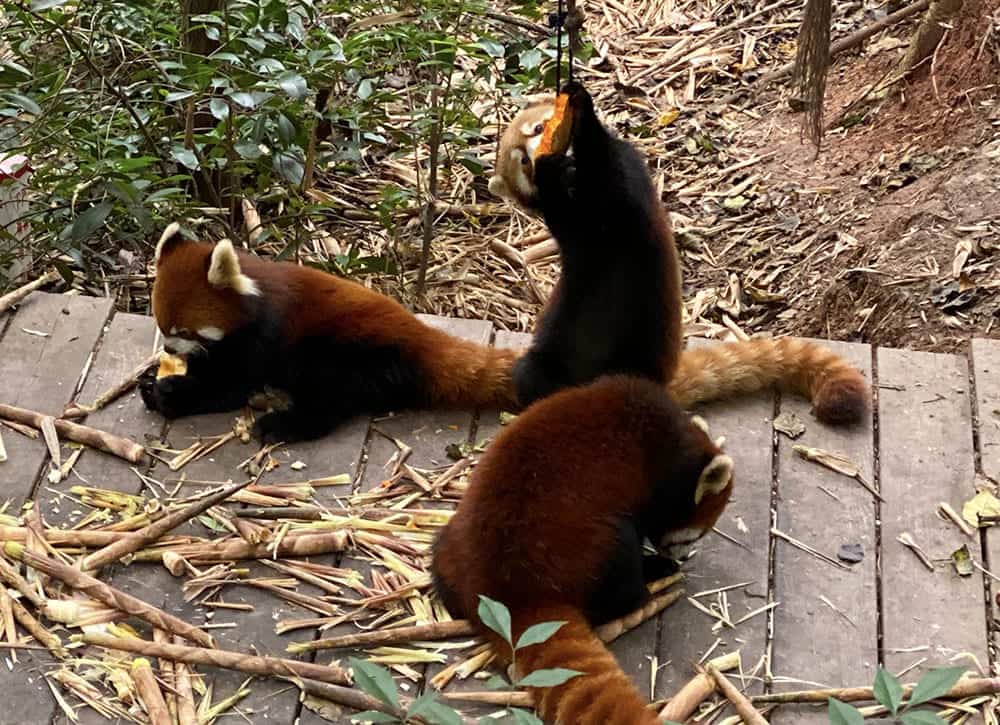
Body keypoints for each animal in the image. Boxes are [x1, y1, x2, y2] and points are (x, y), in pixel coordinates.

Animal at [142, 223, 520, 444]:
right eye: (160, 326)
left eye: (185, 330)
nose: (171, 350)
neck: (256, 295)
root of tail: (422, 338)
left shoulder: (264, 337)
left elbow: (230, 386)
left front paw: (172, 393)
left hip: (348, 351)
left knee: (330, 397)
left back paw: (284, 424)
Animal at [432, 374, 736, 724]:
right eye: (690, 538)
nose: (682, 556)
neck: (672, 442)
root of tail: (510, 589)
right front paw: (660, 563)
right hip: (590, 547)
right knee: (620, 560)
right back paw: (648, 583)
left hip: (453, 542)